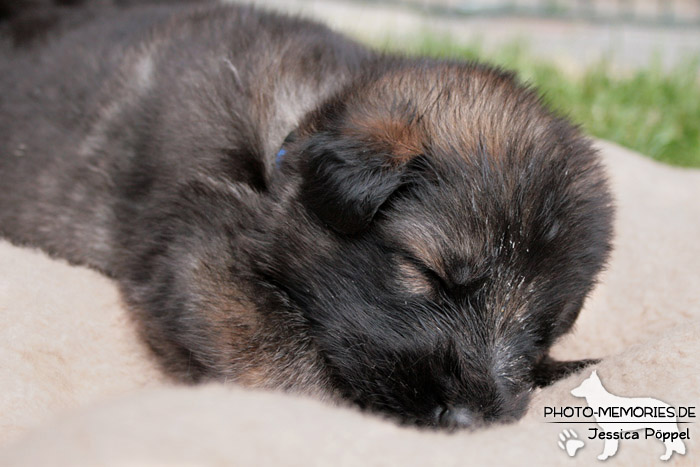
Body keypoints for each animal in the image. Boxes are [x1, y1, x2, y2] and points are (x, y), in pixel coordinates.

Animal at [0, 1, 612, 430]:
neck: (291, 136)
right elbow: (282, 358)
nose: (468, 422)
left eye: (541, 333)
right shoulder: (200, 249)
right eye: (428, 274)